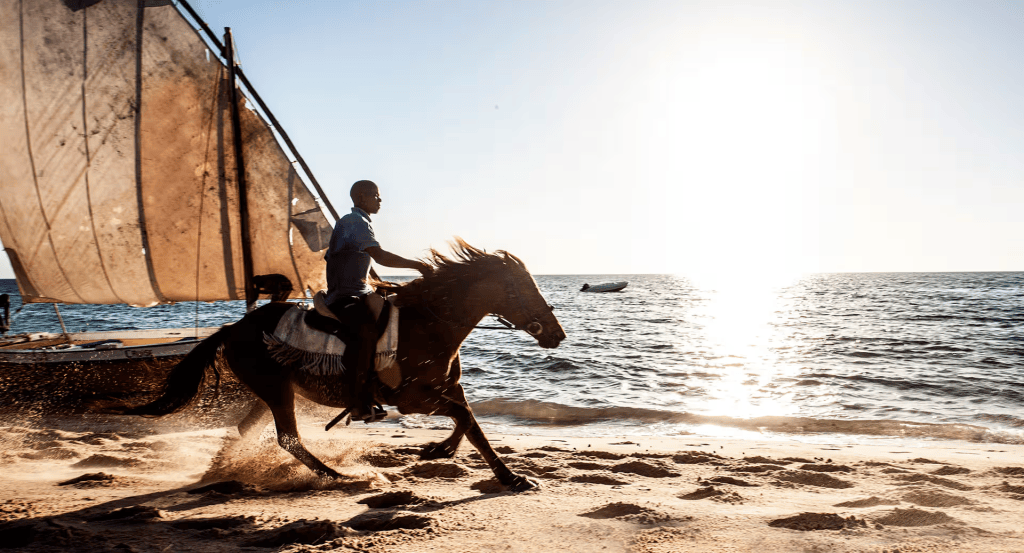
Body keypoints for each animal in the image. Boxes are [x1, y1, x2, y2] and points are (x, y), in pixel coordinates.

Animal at [117, 240, 565, 492]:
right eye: (523, 288)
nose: (557, 334)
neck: (429, 323)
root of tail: (234, 328)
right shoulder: (413, 398)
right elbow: (467, 418)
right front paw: (510, 478)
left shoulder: (444, 388)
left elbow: (468, 418)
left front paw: (440, 449)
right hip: (276, 391)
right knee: (289, 440)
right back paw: (339, 477)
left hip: (271, 392)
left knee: (249, 431)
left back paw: (223, 471)